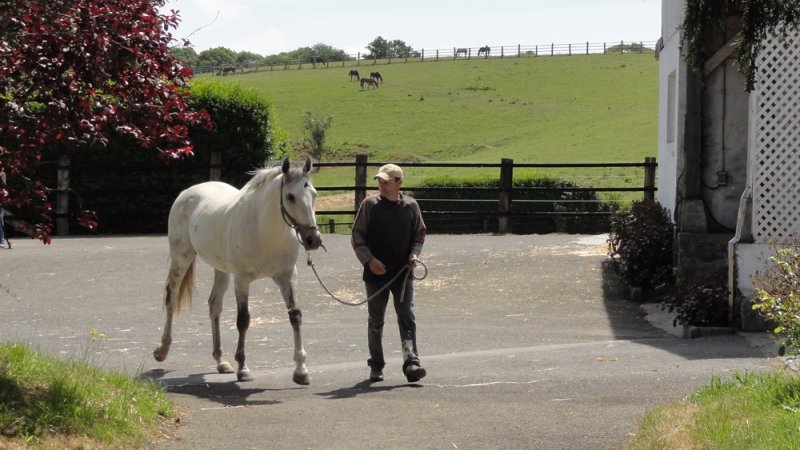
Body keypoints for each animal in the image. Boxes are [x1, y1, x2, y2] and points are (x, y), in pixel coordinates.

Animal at [153, 158, 323, 384]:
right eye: (290, 196)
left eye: (314, 194)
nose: (314, 240)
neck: (266, 230)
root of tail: (188, 192)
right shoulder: (242, 279)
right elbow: (243, 320)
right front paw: (243, 368)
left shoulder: (287, 276)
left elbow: (295, 315)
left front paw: (301, 371)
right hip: (182, 257)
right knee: (171, 297)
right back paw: (162, 350)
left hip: (221, 270)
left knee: (214, 306)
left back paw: (221, 361)